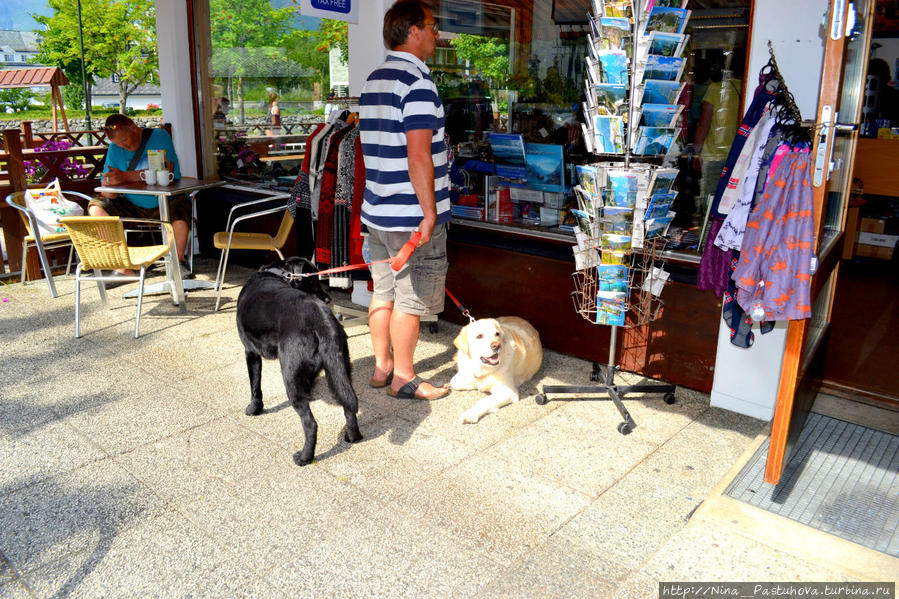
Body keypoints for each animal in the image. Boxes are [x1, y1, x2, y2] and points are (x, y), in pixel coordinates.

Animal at [239, 255, 366, 466]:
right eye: (312, 281)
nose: (328, 299)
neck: (274, 274)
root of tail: (322, 320)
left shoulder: (251, 353)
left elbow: (255, 386)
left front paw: (254, 408)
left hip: (290, 374)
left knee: (310, 423)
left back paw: (305, 457)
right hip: (341, 369)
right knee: (349, 405)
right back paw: (352, 437)